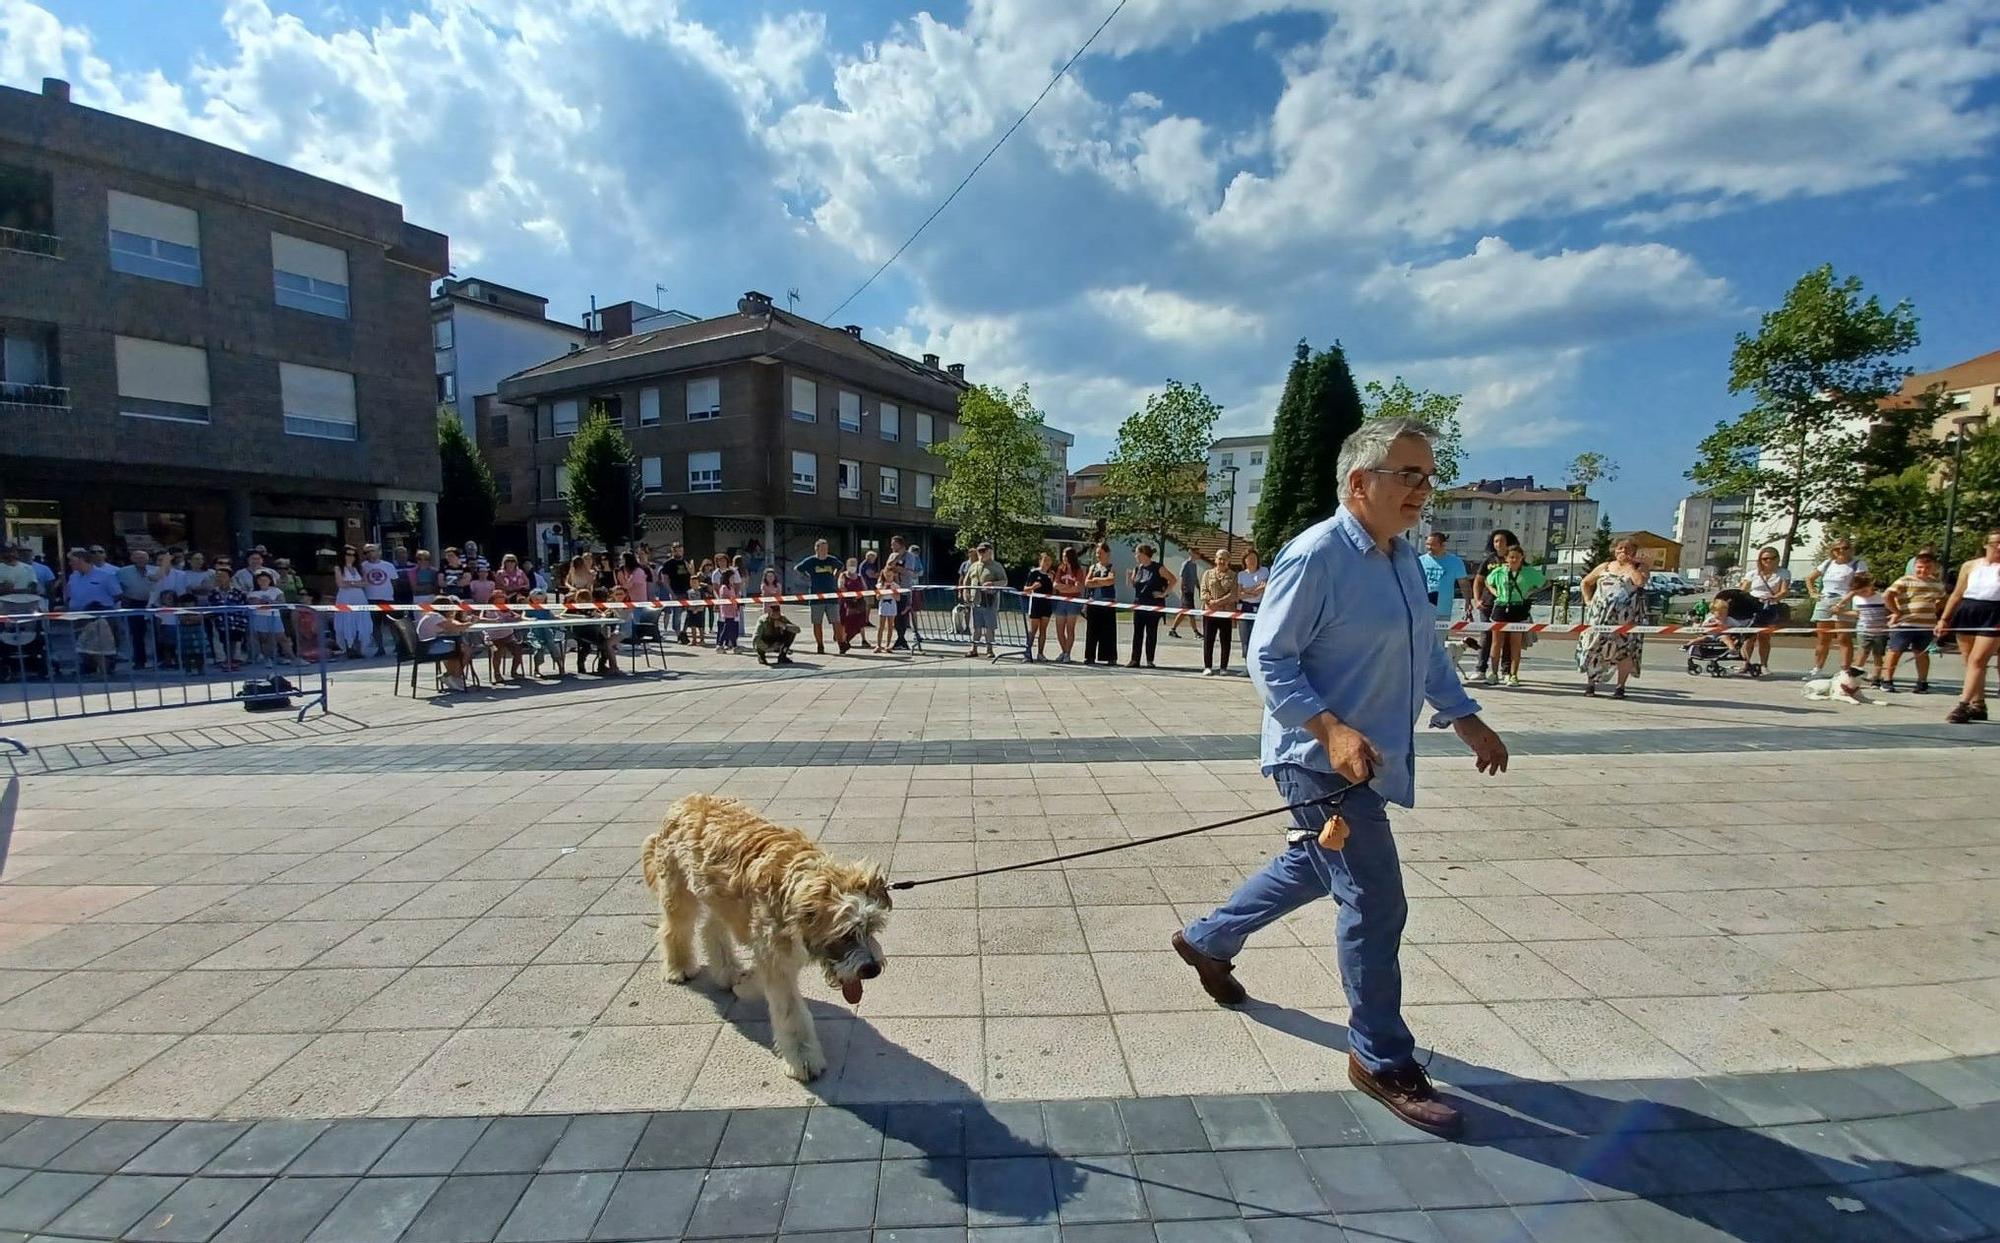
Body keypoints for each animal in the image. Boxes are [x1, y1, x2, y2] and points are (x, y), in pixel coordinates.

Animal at [640, 799, 892, 1079]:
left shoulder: (774, 952)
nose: (872, 969)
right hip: (680, 891)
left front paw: (745, 984)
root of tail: (684, 801)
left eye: (871, 928)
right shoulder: (775, 958)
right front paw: (803, 1058)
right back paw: (679, 967)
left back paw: (728, 971)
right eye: (846, 933)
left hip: (717, 896)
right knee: (674, 929)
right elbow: (791, 1013)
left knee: (711, 929)